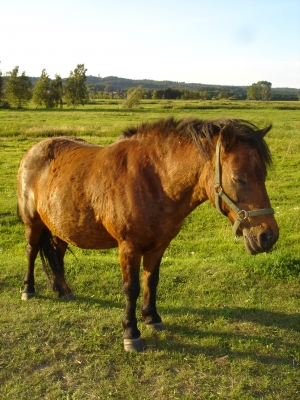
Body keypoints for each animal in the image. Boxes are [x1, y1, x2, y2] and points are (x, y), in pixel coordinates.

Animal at [16, 117, 278, 352]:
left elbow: (151, 280)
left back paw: (63, 290)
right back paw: (28, 290)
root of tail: (33, 151)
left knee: (57, 254)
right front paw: (131, 333)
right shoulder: (128, 247)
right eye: (238, 178)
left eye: (264, 175)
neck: (154, 180)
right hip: (33, 222)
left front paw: (152, 317)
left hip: (61, 226)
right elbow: (130, 287)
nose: (269, 236)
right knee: (31, 251)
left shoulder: (158, 246)